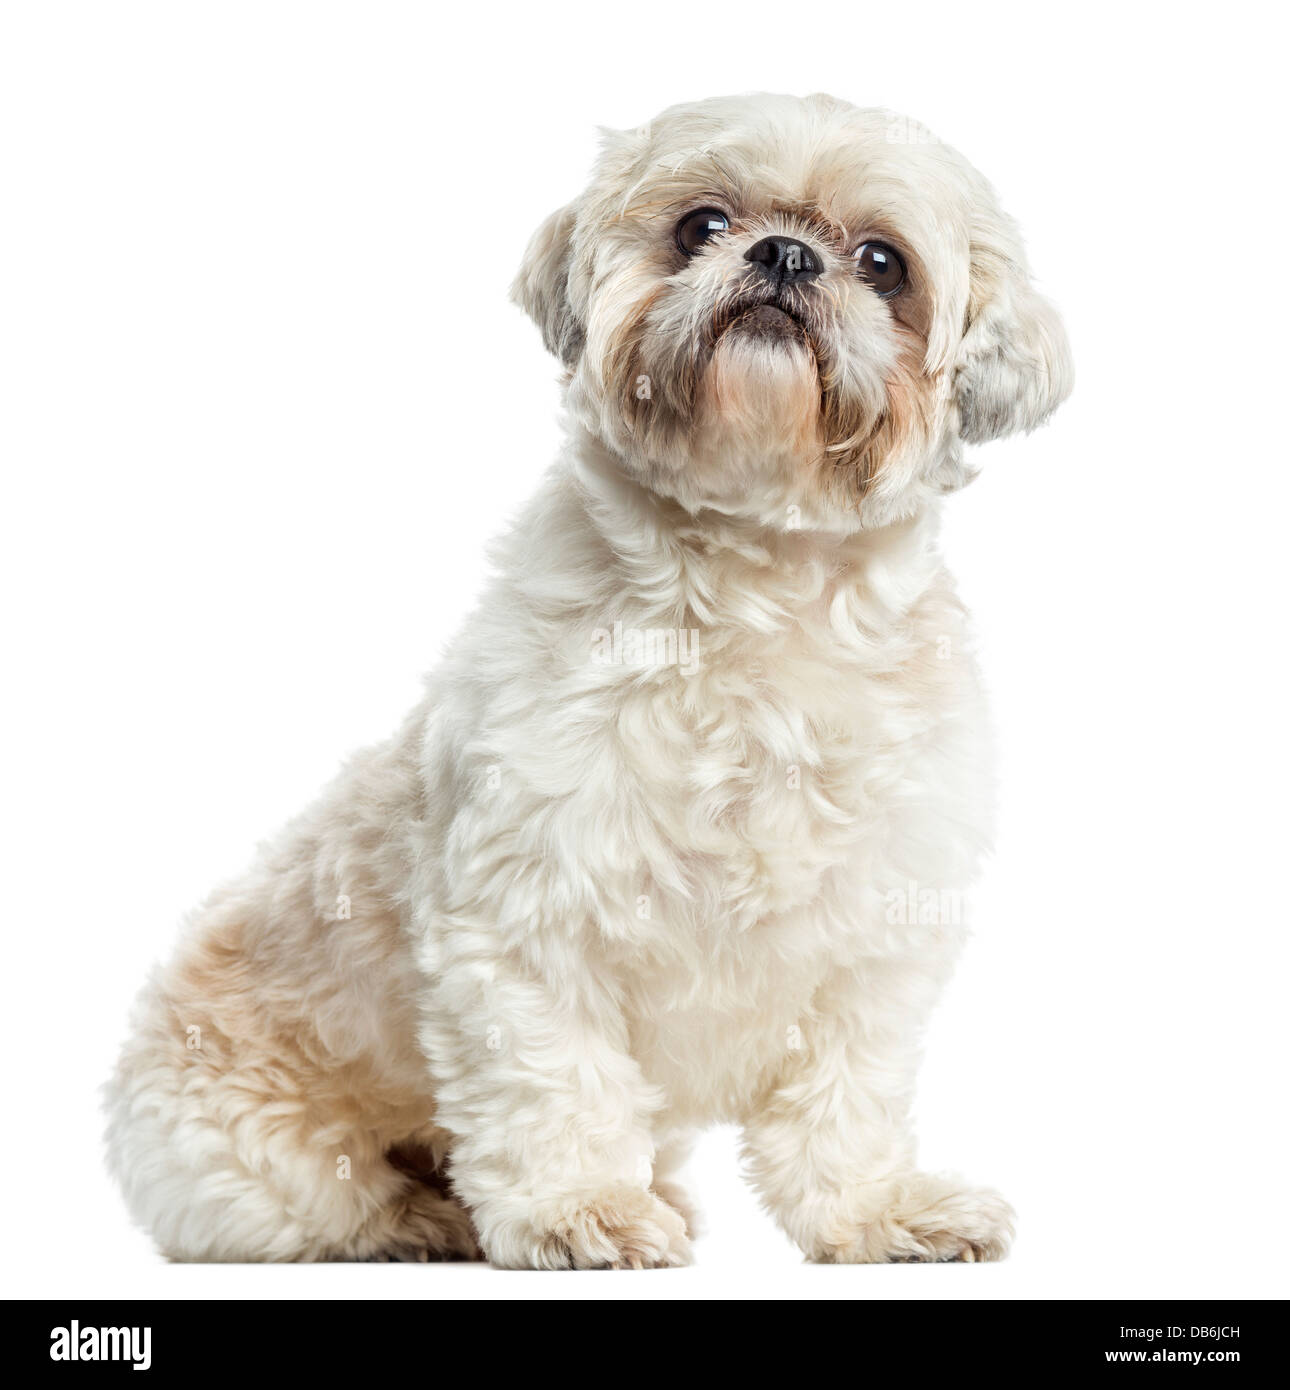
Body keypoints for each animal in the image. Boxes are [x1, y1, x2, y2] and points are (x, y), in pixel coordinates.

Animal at [103, 95, 1067, 1273]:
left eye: (884, 263)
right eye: (702, 225)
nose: (782, 253)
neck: (754, 602)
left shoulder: (875, 936)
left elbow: (846, 1096)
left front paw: (876, 1211)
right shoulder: (528, 910)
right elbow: (554, 1078)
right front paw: (579, 1212)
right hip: (255, 1159)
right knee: (333, 1202)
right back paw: (424, 1216)